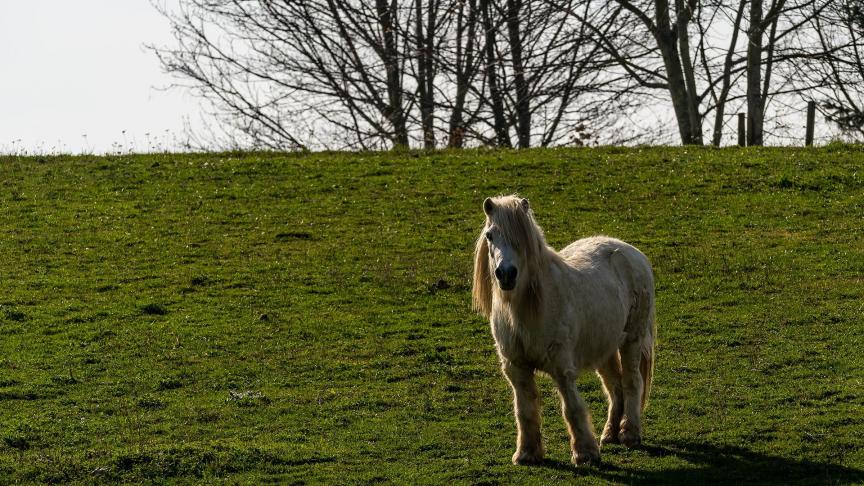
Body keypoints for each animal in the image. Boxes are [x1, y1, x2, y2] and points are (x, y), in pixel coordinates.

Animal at [472, 195, 656, 468]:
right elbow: (525, 410)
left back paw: (629, 434)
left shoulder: (561, 367)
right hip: (605, 347)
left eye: (522, 238)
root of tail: (631, 251)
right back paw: (609, 434)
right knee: (615, 387)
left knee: (632, 381)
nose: (506, 274)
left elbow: (571, 408)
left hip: (632, 339)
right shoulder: (517, 368)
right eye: (490, 235)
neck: (526, 309)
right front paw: (527, 454)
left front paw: (585, 454)